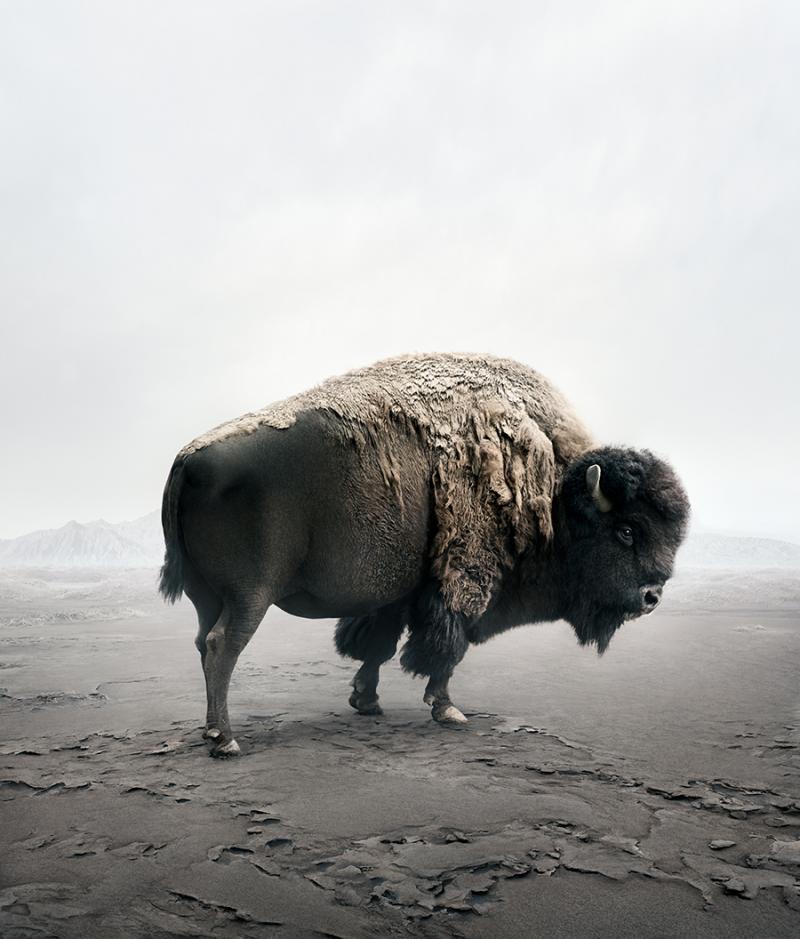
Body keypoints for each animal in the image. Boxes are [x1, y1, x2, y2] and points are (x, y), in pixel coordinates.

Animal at [159, 353, 689, 757]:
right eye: (626, 530)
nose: (651, 596)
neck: (553, 492)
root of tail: (188, 459)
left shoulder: (397, 594)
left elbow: (377, 643)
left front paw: (366, 701)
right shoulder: (464, 582)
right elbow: (447, 646)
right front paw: (448, 709)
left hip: (208, 596)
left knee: (202, 642)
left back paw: (212, 731)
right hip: (250, 596)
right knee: (222, 646)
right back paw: (225, 740)